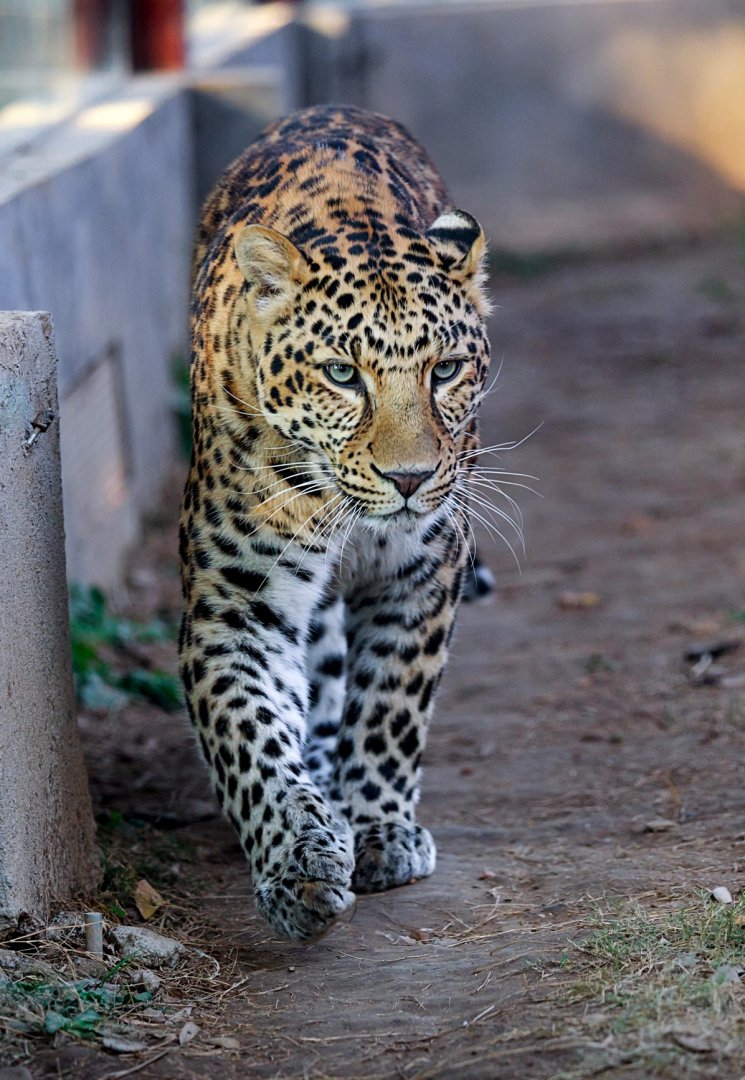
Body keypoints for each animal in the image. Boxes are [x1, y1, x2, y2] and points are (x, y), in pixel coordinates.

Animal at [179, 104, 497, 943]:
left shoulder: (422, 573)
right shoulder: (236, 605)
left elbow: (391, 706)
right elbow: (250, 738)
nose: (410, 479)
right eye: (341, 374)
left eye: (444, 370)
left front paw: (382, 827)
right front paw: (298, 861)